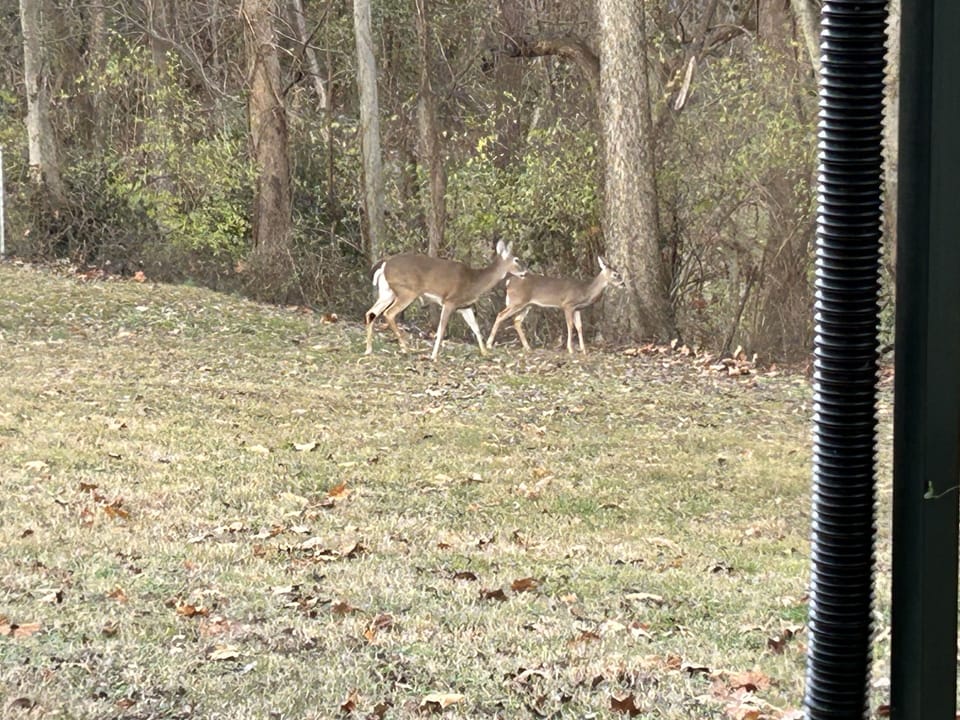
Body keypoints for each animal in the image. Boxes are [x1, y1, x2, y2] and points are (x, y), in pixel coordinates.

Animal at [364, 240, 527, 360]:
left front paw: (485, 352)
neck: (475, 281)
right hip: (407, 291)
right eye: (517, 259)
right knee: (389, 313)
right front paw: (434, 356)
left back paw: (369, 350)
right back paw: (406, 349)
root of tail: (385, 264)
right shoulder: (449, 301)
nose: (525, 272)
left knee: (371, 312)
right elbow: (441, 329)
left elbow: (475, 328)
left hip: (387, 292)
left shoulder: (465, 306)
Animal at [486, 256, 625, 354]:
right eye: (616, 274)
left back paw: (528, 347)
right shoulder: (567, 305)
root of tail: (509, 282)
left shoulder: (577, 309)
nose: (623, 284)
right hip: (517, 301)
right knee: (500, 315)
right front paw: (571, 348)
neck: (585, 291)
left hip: (526, 305)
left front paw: (583, 349)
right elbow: (570, 325)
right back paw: (488, 344)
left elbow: (579, 327)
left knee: (516, 321)